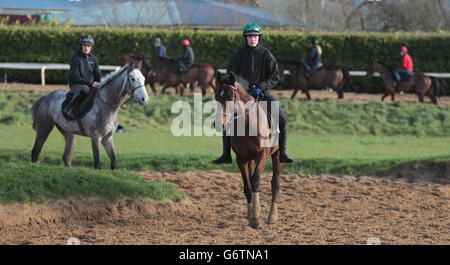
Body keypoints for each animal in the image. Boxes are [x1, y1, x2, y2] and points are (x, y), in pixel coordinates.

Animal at [214, 71, 282, 228]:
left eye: (229, 96)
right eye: (216, 97)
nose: (218, 124)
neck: (247, 124)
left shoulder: (263, 154)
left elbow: (256, 181)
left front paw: (256, 218)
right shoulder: (241, 159)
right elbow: (247, 186)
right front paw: (252, 216)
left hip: (277, 155)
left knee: (275, 183)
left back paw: (272, 216)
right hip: (250, 159)